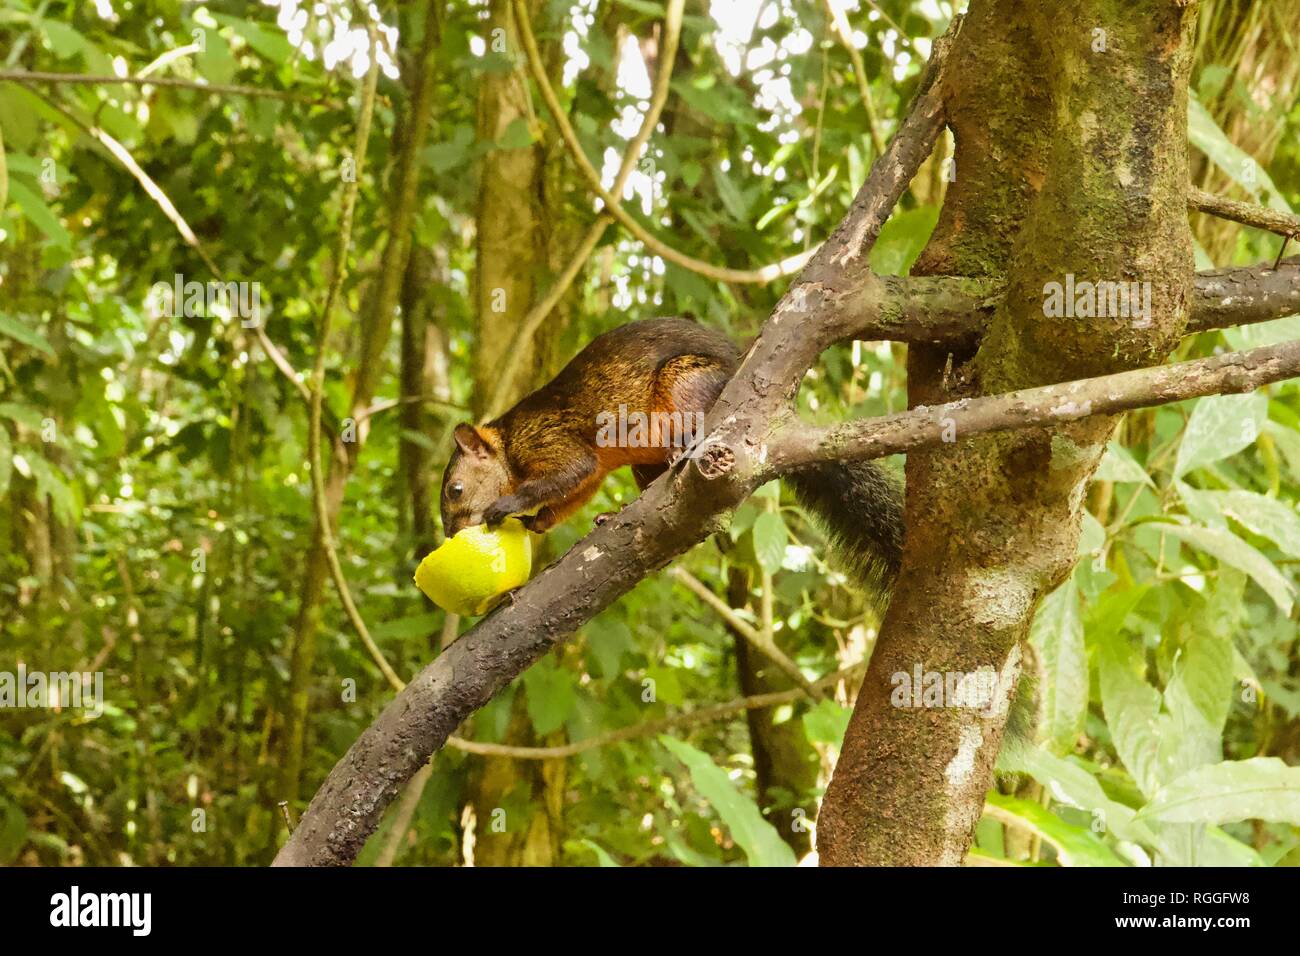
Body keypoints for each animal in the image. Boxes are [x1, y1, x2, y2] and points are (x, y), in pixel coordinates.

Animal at [436, 317, 904, 590]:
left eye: (455, 490)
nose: (450, 536)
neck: (508, 444)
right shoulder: (589, 474)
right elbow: (575, 491)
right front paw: (536, 521)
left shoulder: (549, 439)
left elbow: (568, 472)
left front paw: (507, 506)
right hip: (644, 463)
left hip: (686, 382)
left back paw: (685, 446)